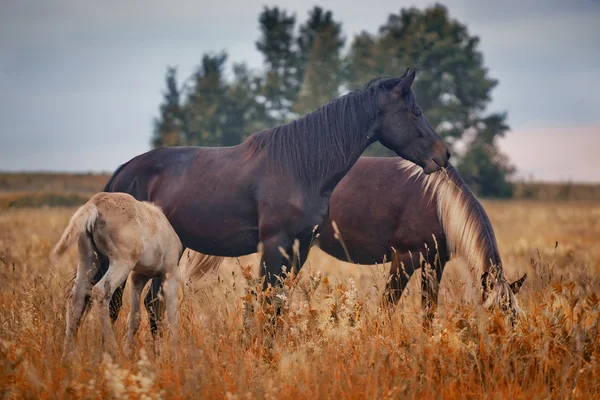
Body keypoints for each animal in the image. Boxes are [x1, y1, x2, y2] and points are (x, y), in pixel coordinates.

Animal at [103, 68, 450, 328]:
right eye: (415, 112)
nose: (443, 155)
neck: (300, 167)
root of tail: (124, 172)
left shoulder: (300, 247)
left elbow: (279, 304)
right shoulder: (274, 245)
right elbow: (268, 303)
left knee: (152, 303)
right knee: (112, 301)